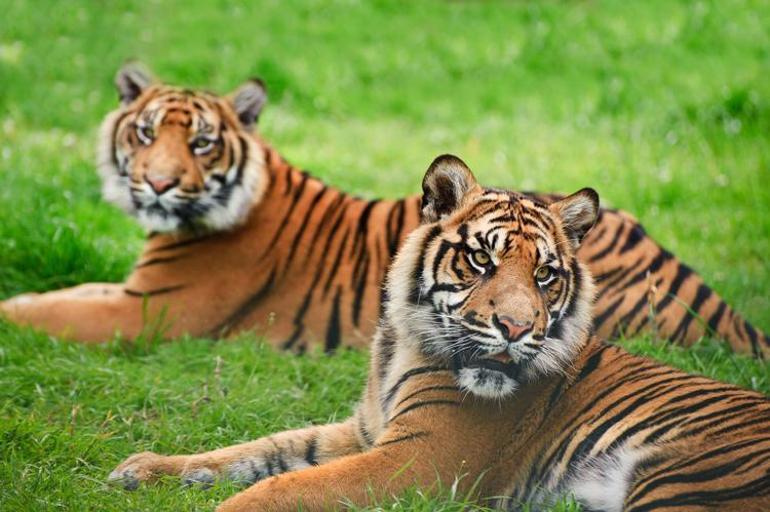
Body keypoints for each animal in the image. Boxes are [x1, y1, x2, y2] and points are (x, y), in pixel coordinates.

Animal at [1, 62, 768, 358]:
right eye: (144, 134)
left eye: (200, 142)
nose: (157, 185)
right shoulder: (127, 289)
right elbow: (60, 292)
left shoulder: (150, 311)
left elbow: (47, 312)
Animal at [106, 154, 768, 510]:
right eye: (482, 259)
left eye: (545, 274)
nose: (515, 327)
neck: (402, 346)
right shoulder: (363, 432)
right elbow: (259, 451)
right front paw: (143, 468)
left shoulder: (418, 459)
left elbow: (284, 487)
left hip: (683, 477)